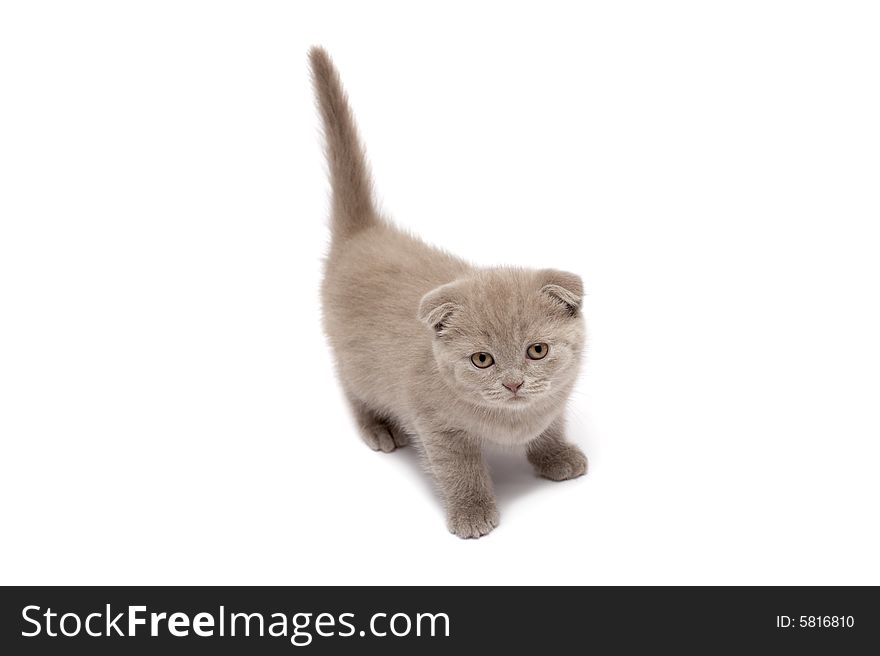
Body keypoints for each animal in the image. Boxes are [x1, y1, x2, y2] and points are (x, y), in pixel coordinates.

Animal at [312, 47, 588, 540]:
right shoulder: (438, 428)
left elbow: (551, 425)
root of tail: (365, 234)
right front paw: (472, 512)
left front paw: (555, 455)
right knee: (352, 389)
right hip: (352, 359)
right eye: (482, 359)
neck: (512, 419)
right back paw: (376, 428)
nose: (514, 383)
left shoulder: (553, 399)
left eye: (537, 350)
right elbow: (460, 470)